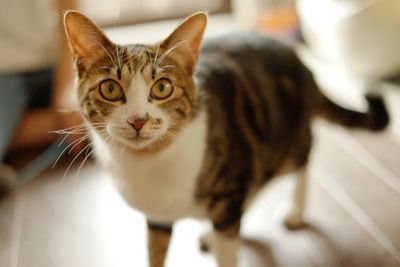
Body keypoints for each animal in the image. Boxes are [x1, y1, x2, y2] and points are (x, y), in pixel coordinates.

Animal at [64, 11, 390, 267]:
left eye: (162, 88)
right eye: (109, 89)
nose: (137, 120)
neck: (150, 161)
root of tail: (299, 59)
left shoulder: (230, 185)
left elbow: (228, 251)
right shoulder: (157, 218)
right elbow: (155, 254)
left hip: (285, 142)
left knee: (303, 163)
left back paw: (294, 213)